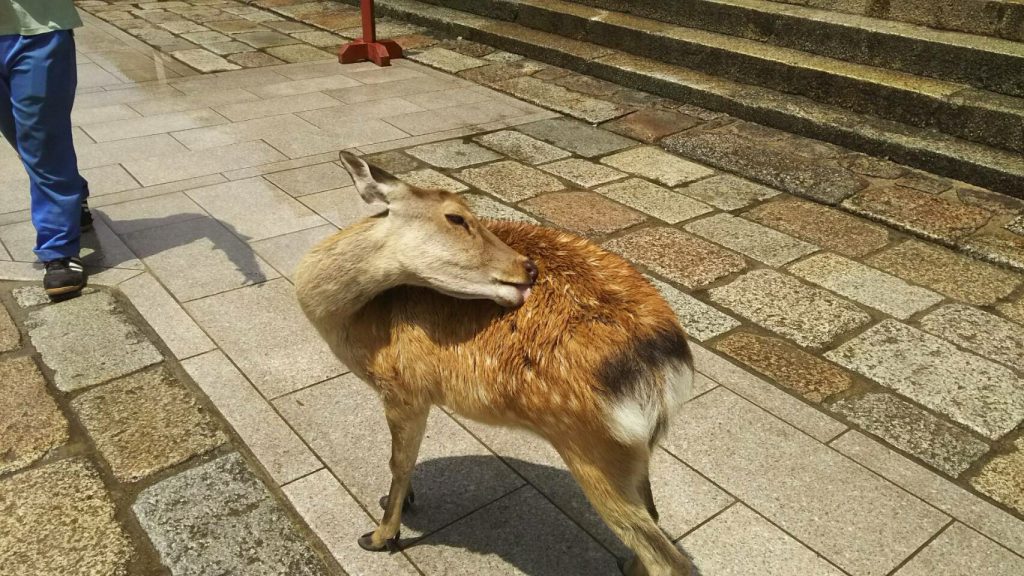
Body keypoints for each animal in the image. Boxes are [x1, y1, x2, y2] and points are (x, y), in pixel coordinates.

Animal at [296, 150, 696, 569]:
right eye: (456, 218)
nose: (529, 267)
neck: (356, 327)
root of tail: (667, 360)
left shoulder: (405, 387)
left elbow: (399, 461)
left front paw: (380, 534)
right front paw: (397, 502)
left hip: (593, 446)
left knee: (668, 558)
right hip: (638, 450)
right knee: (654, 515)